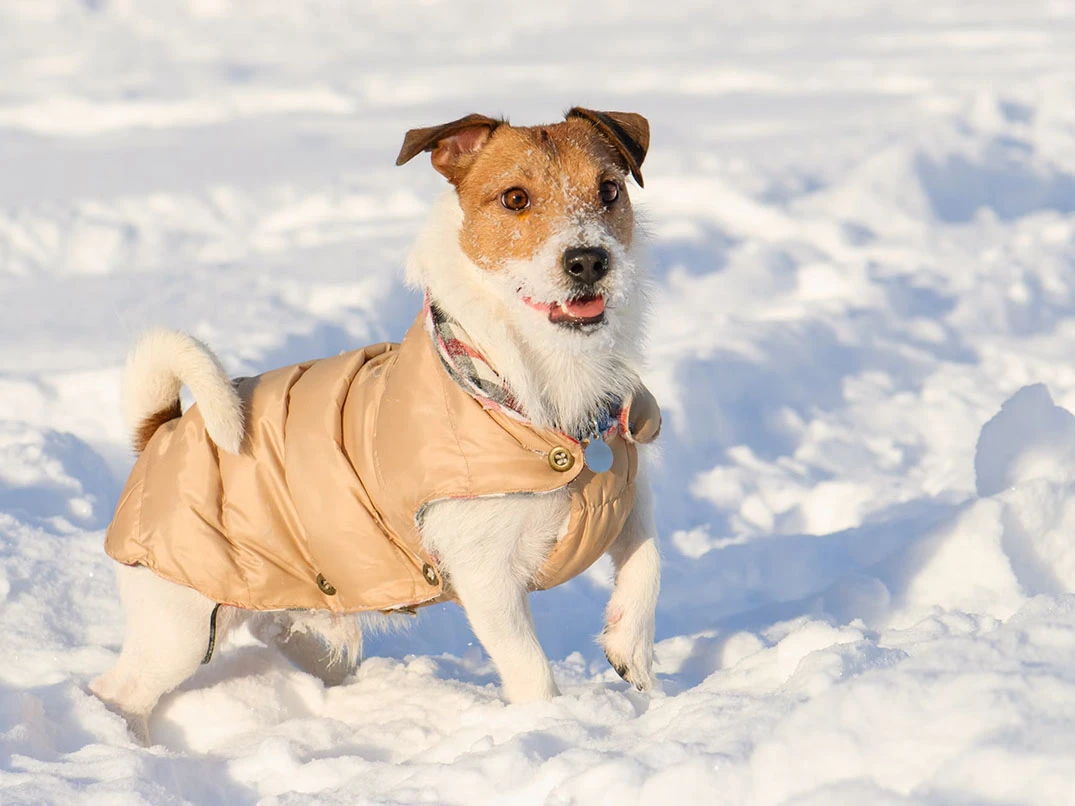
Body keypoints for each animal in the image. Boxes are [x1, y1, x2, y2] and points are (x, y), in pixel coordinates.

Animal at [92, 109, 657, 743]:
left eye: (608, 190)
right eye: (515, 198)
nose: (588, 260)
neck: (533, 390)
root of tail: (160, 432)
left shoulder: (626, 498)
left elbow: (648, 563)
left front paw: (629, 650)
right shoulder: (486, 577)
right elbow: (529, 667)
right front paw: (552, 722)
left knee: (273, 626)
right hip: (179, 626)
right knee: (118, 689)